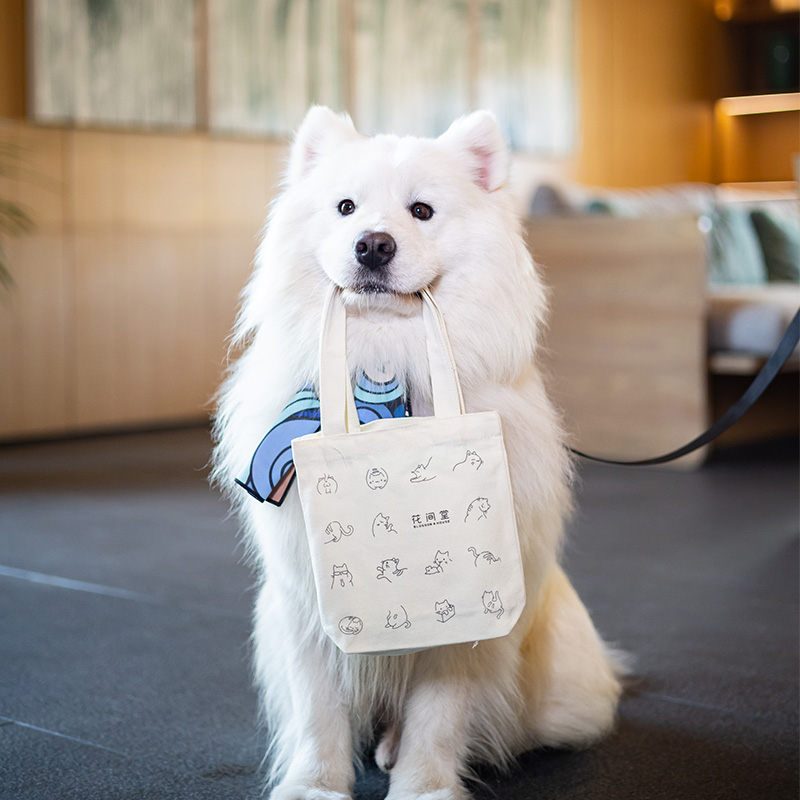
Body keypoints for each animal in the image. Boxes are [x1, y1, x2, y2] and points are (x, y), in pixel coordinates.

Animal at [214, 108, 624, 800]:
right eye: (346, 207)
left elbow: (440, 714)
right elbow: (319, 710)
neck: (385, 360)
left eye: (422, 211)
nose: (374, 244)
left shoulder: (466, 623)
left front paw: (424, 787)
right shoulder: (306, 601)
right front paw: (315, 785)